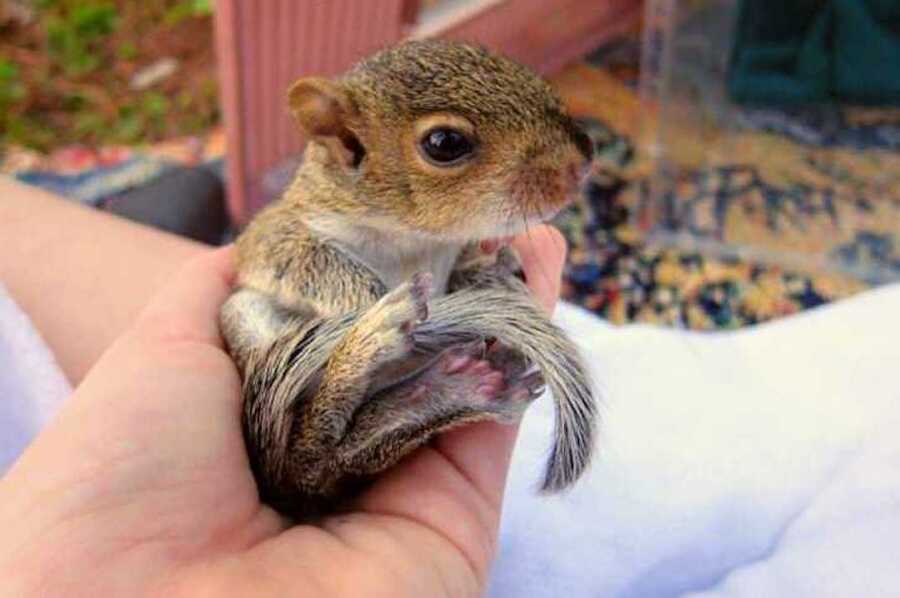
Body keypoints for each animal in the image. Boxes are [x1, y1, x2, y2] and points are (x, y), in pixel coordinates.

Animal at [220, 41, 596, 520]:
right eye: (445, 143)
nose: (584, 159)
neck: (411, 238)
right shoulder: (274, 232)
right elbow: (299, 258)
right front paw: (370, 298)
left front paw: (490, 265)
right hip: (245, 320)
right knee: (314, 452)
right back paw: (378, 343)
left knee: (345, 451)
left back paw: (451, 391)